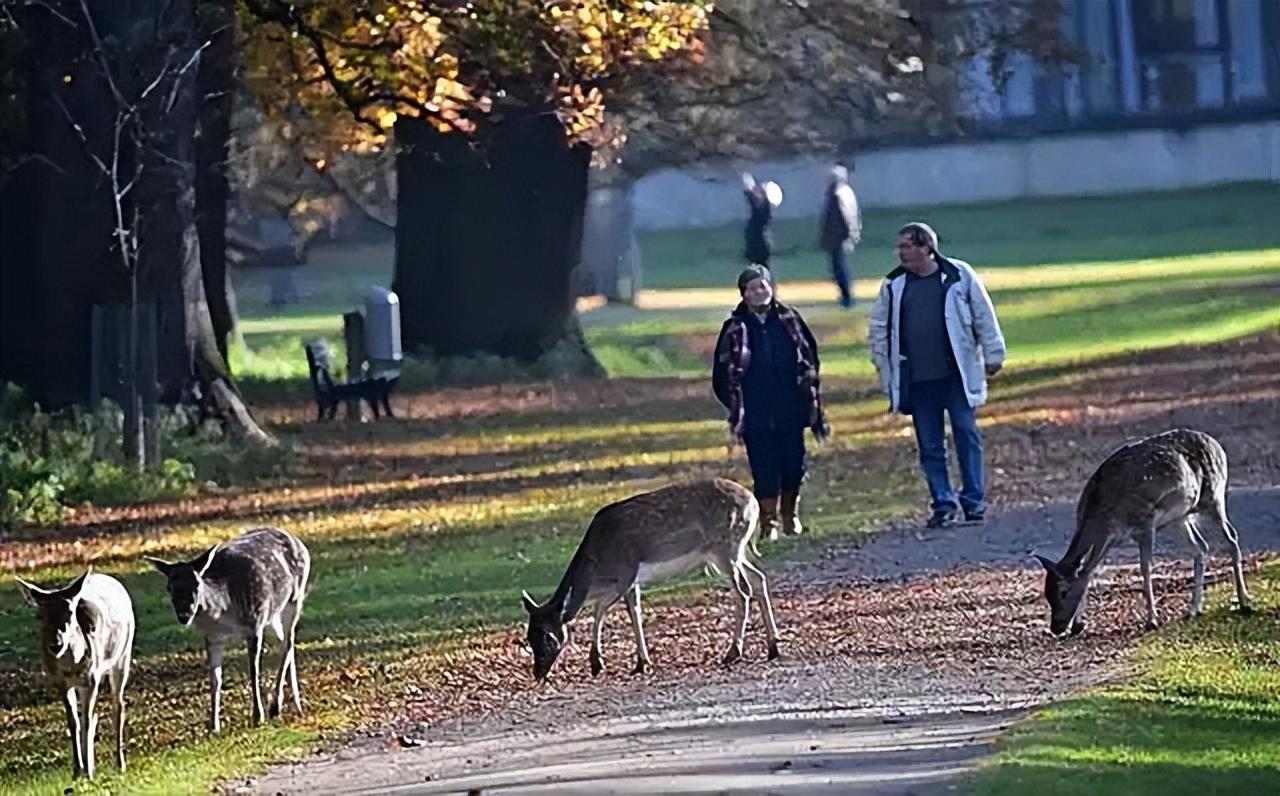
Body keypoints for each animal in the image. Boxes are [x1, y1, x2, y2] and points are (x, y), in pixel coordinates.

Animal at [16, 570, 135, 783]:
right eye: (39, 615)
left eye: (70, 613)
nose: (55, 644)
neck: (70, 667)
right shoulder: (59, 682)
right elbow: (73, 721)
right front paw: (77, 770)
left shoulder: (92, 678)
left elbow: (85, 719)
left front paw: (87, 772)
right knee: (94, 714)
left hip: (123, 654)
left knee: (118, 706)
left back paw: (120, 764)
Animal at [144, 529, 309, 737]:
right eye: (169, 587)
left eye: (196, 584)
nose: (184, 615)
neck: (224, 611)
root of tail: (297, 541)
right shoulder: (213, 637)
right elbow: (215, 679)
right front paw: (213, 726)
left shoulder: (254, 622)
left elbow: (253, 670)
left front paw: (258, 717)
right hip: (273, 616)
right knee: (285, 643)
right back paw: (296, 706)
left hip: (294, 599)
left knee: (288, 643)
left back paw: (275, 706)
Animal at [519, 476, 778, 680]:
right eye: (528, 637)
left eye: (548, 635)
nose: (538, 673)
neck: (598, 568)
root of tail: (753, 504)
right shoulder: (630, 582)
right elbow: (631, 611)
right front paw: (637, 662)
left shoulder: (625, 572)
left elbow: (601, 608)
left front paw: (601, 663)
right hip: (732, 552)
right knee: (758, 579)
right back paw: (773, 647)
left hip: (725, 548)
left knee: (743, 591)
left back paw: (733, 653)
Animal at [1034, 427, 1254, 639]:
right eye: (1047, 592)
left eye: (1063, 591)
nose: (1056, 627)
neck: (1105, 518)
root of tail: (1219, 447)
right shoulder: (1112, 538)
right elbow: (1089, 570)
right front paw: (1078, 626)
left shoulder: (1145, 522)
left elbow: (1145, 568)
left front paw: (1152, 620)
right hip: (1181, 516)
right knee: (1201, 547)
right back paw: (1194, 610)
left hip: (1213, 496)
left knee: (1231, 538)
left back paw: (1244, 603)